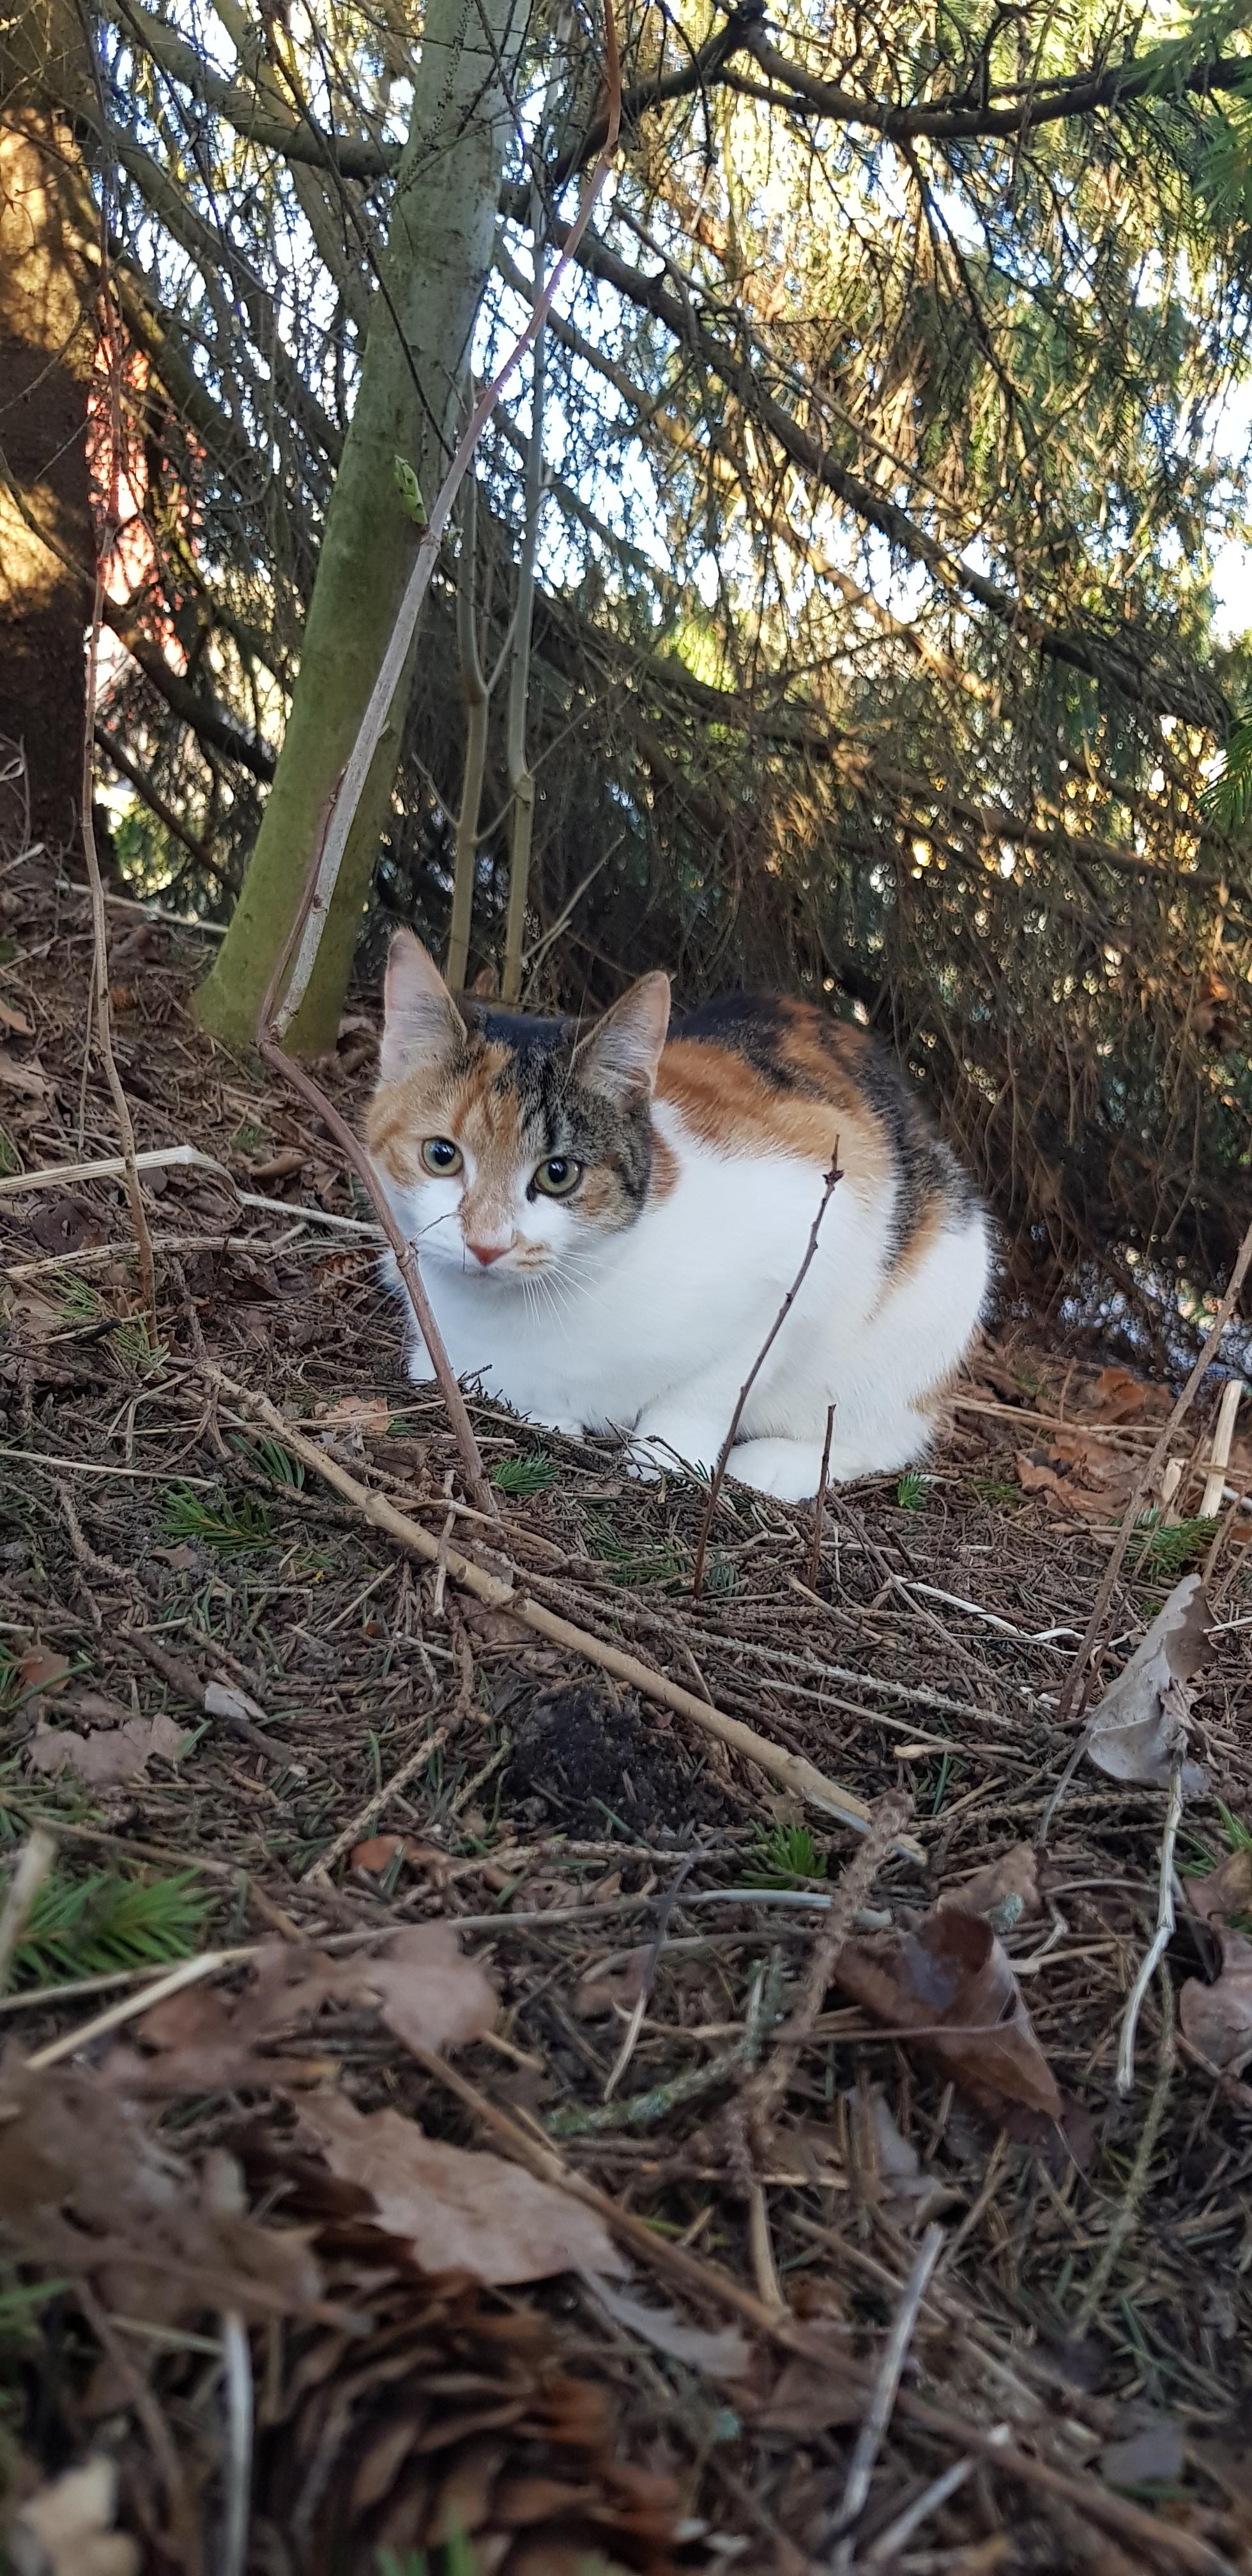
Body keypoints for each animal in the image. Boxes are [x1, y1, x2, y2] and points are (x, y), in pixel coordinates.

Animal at [365, 932, 994, 1504]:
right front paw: (547, 1416)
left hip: (933, 1302)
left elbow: (714, 1386)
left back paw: (776, 1463)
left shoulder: (814, 1243)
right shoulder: (433, 1353)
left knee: (883, 1437)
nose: (487, 1244)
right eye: (441, 1155)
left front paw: (664, 1455)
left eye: (558, 1173)